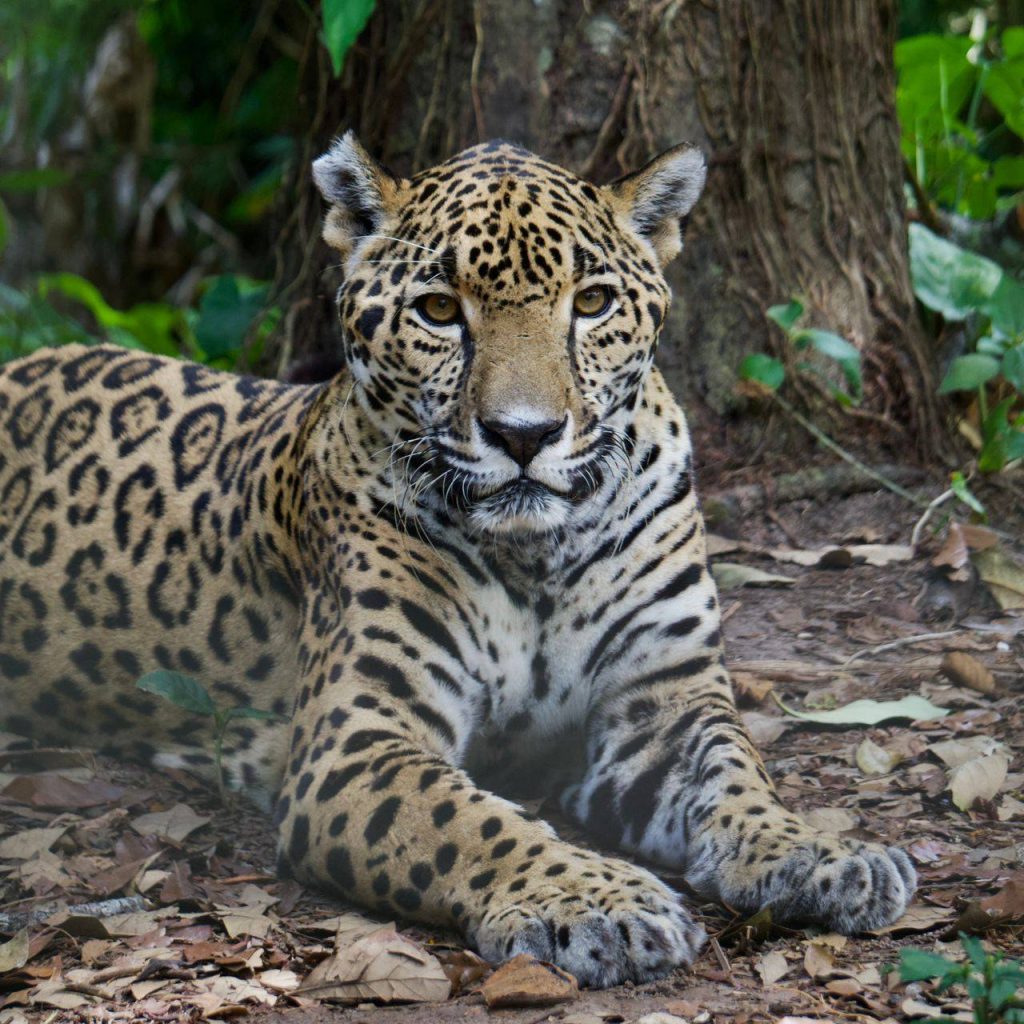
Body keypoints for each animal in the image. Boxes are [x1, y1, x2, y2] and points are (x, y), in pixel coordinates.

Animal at [0, 133, 916, 988]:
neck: (539, 554)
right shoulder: (358, 741)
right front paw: (599, 900)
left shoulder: (663, 704)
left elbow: (737, 771)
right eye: (439, 309)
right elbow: (471, 820)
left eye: (592, 302)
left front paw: (819, 852)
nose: (524, 434)